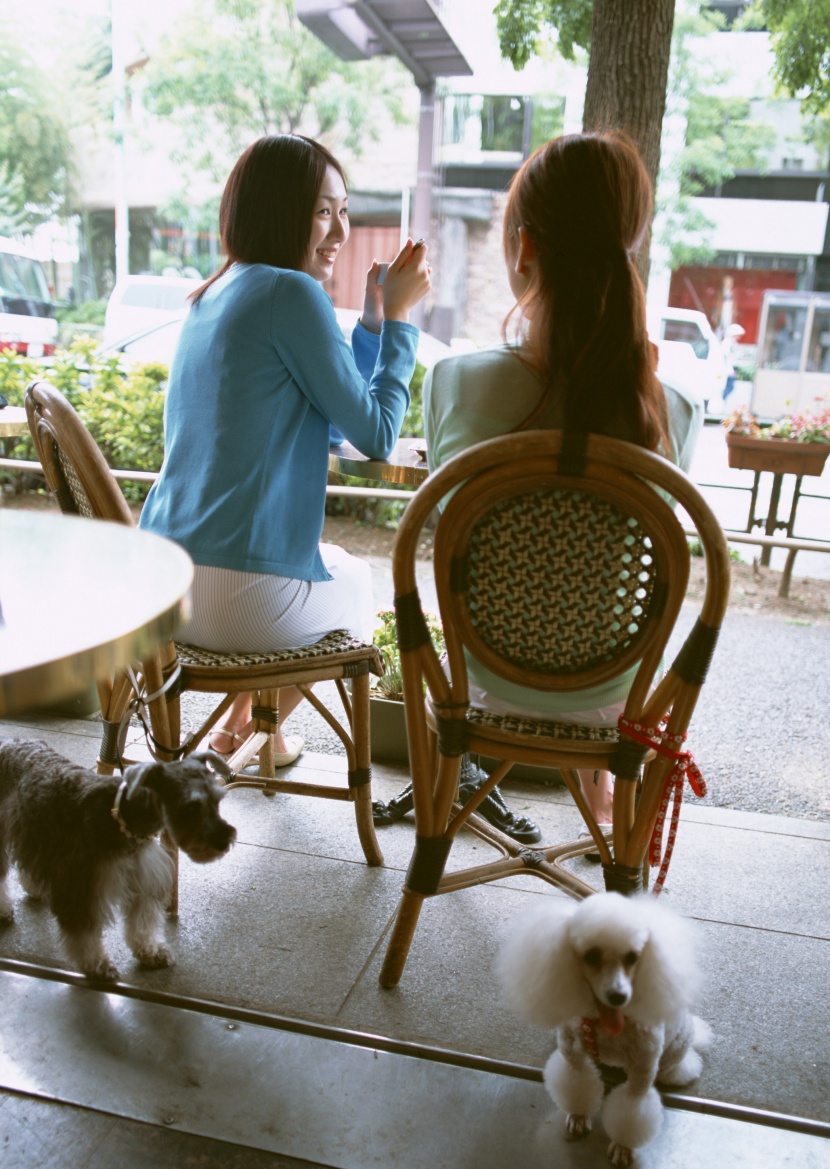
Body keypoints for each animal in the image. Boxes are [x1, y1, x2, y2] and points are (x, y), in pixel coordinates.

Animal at [0, 738, 236, 977]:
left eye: (217, 801)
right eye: (188, 807)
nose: (223, 841)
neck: (123, 816)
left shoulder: (144, 881)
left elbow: (142, 924)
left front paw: (151, 952)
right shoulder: (81, 886)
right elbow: (84, 933)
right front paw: (98, 964)